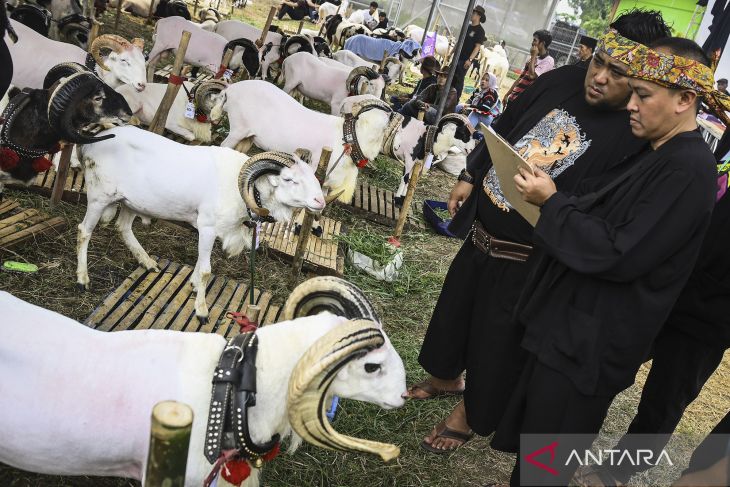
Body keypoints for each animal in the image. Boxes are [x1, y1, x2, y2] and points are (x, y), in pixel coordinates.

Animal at [76, 127, 322, 322]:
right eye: (288, 179)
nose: (320, 201)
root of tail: (91, 144)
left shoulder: (206, 228)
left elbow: (199, 262)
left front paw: (194, 286)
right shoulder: (208, 227)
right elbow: (205, 270)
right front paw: (201, 310)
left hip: (132, 202)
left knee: (123, 227)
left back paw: (148, 263)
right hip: (99, 196)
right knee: (84, 231)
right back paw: (82, 279)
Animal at [212, 81, 390, 203]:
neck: (347, 139)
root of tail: (231, 89)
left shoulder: (327, 184)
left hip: (247, 136)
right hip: (237, 129)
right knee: (223, 146)